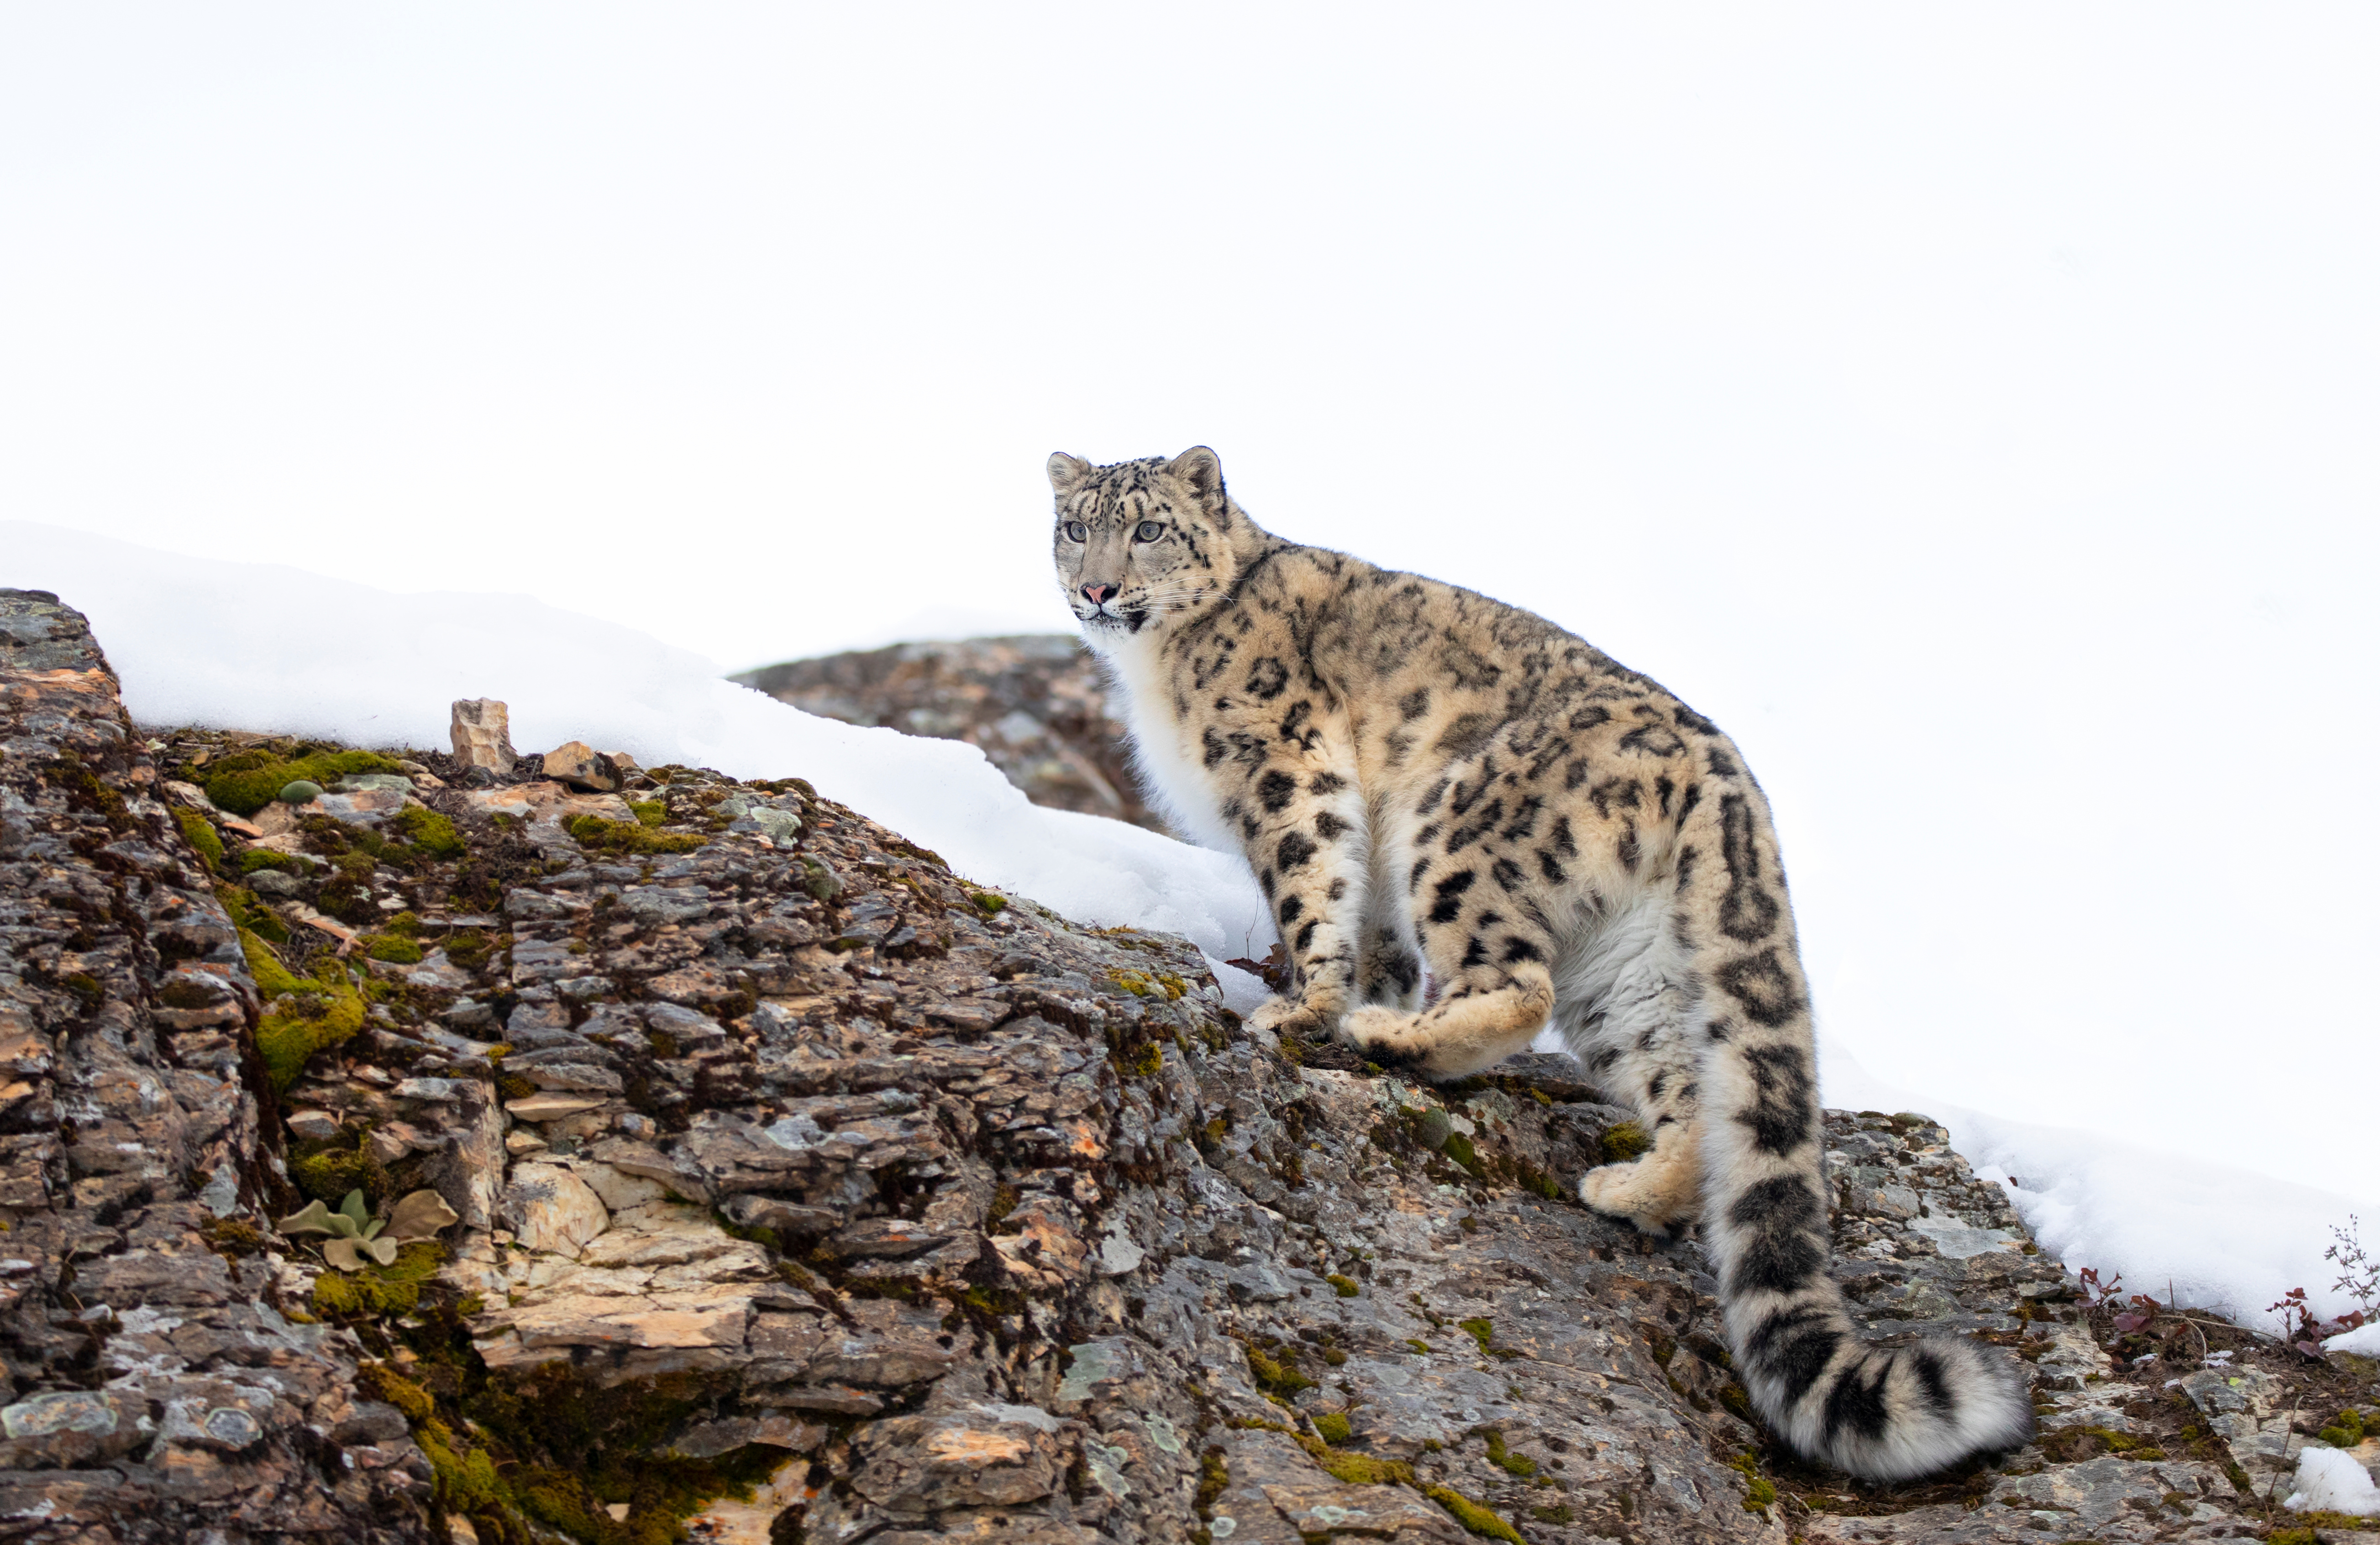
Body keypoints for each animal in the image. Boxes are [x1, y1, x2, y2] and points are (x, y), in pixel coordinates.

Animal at [1046, 445, 2032, 1482]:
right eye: (1075, 527)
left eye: (1147, 527)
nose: (1096, 587)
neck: (1158, 664)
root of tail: (1725, 773)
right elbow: (1373, 933)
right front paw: (1357, 995)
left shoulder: (1282, 770)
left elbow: (1313, 888)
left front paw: (1305, 1006)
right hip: (1627, 959)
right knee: (1681, 1085)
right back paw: (1625, 1189)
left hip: (1457, 834)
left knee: (1517, 986)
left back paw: (1398, 1041)